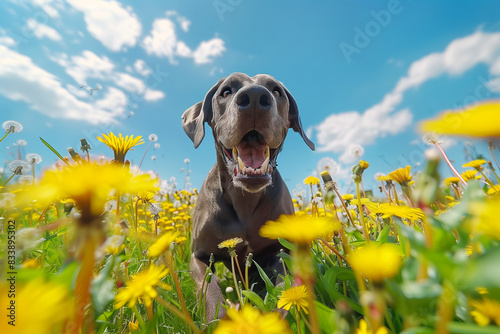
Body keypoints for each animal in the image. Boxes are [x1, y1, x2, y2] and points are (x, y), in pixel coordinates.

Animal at [182, 72, 314, 318]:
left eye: (276, 91)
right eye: (226, 91)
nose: (254, 97)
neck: (245, 199)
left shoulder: (281, 250)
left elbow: (284, 287)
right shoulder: (199, 256)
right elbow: (209, 287)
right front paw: (220, 318)